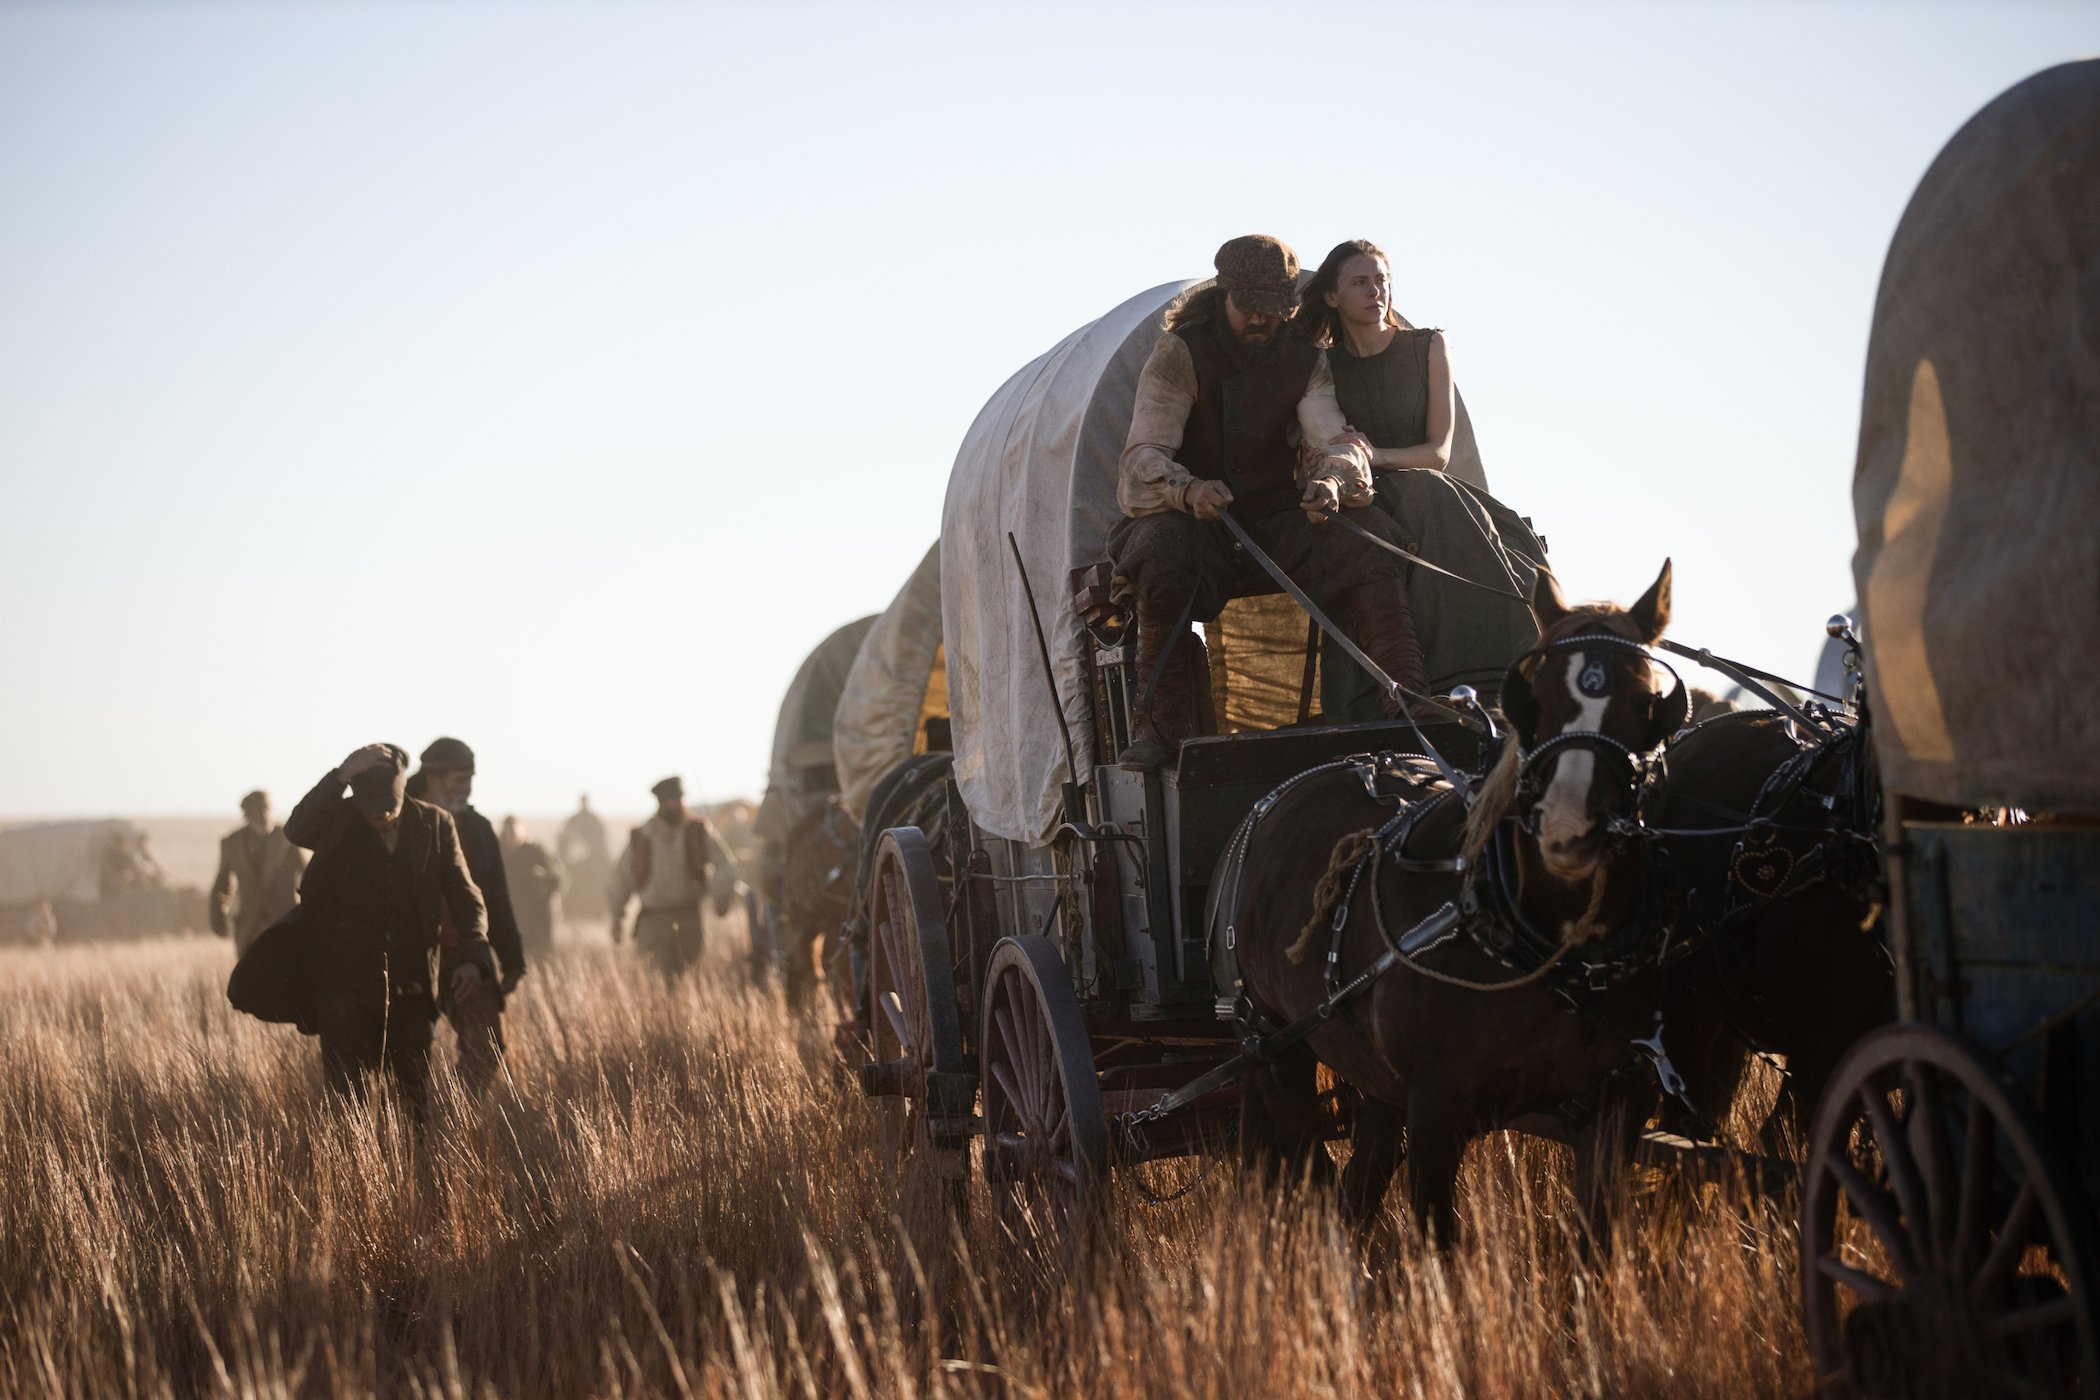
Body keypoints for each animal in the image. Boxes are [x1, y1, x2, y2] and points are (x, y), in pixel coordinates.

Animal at [1226, 562, 1679, 1242]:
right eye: (1533, 698)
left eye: (1647, 701)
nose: (1568, 828)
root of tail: (1274, 796)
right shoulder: (1436, 1109)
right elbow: (1441, 1240)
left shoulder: (1615, 1106)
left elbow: (1594, 1241)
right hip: (1276, 1047)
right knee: (1314, 1178)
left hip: (1369, 1077)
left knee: (1360, 1180)